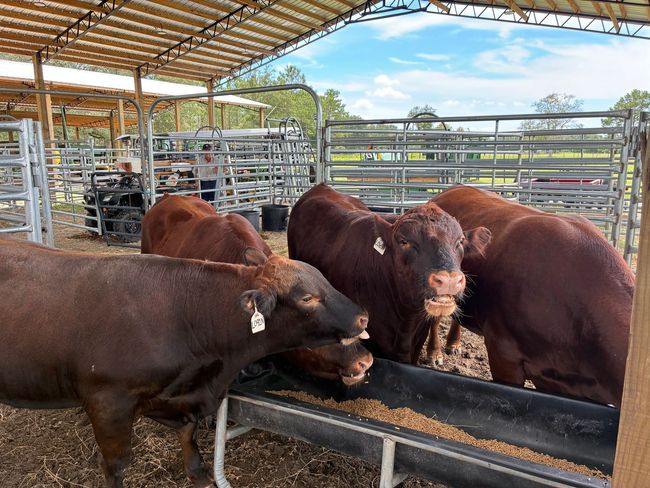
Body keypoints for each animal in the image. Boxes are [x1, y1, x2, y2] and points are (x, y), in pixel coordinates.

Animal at [0, 236, 369, 487]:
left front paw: (199, 473)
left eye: (325, 280)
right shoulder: (107, 402)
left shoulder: (186, 395)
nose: (363, 317)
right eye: (307, 297)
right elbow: (117, 464)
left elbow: (188, 433)